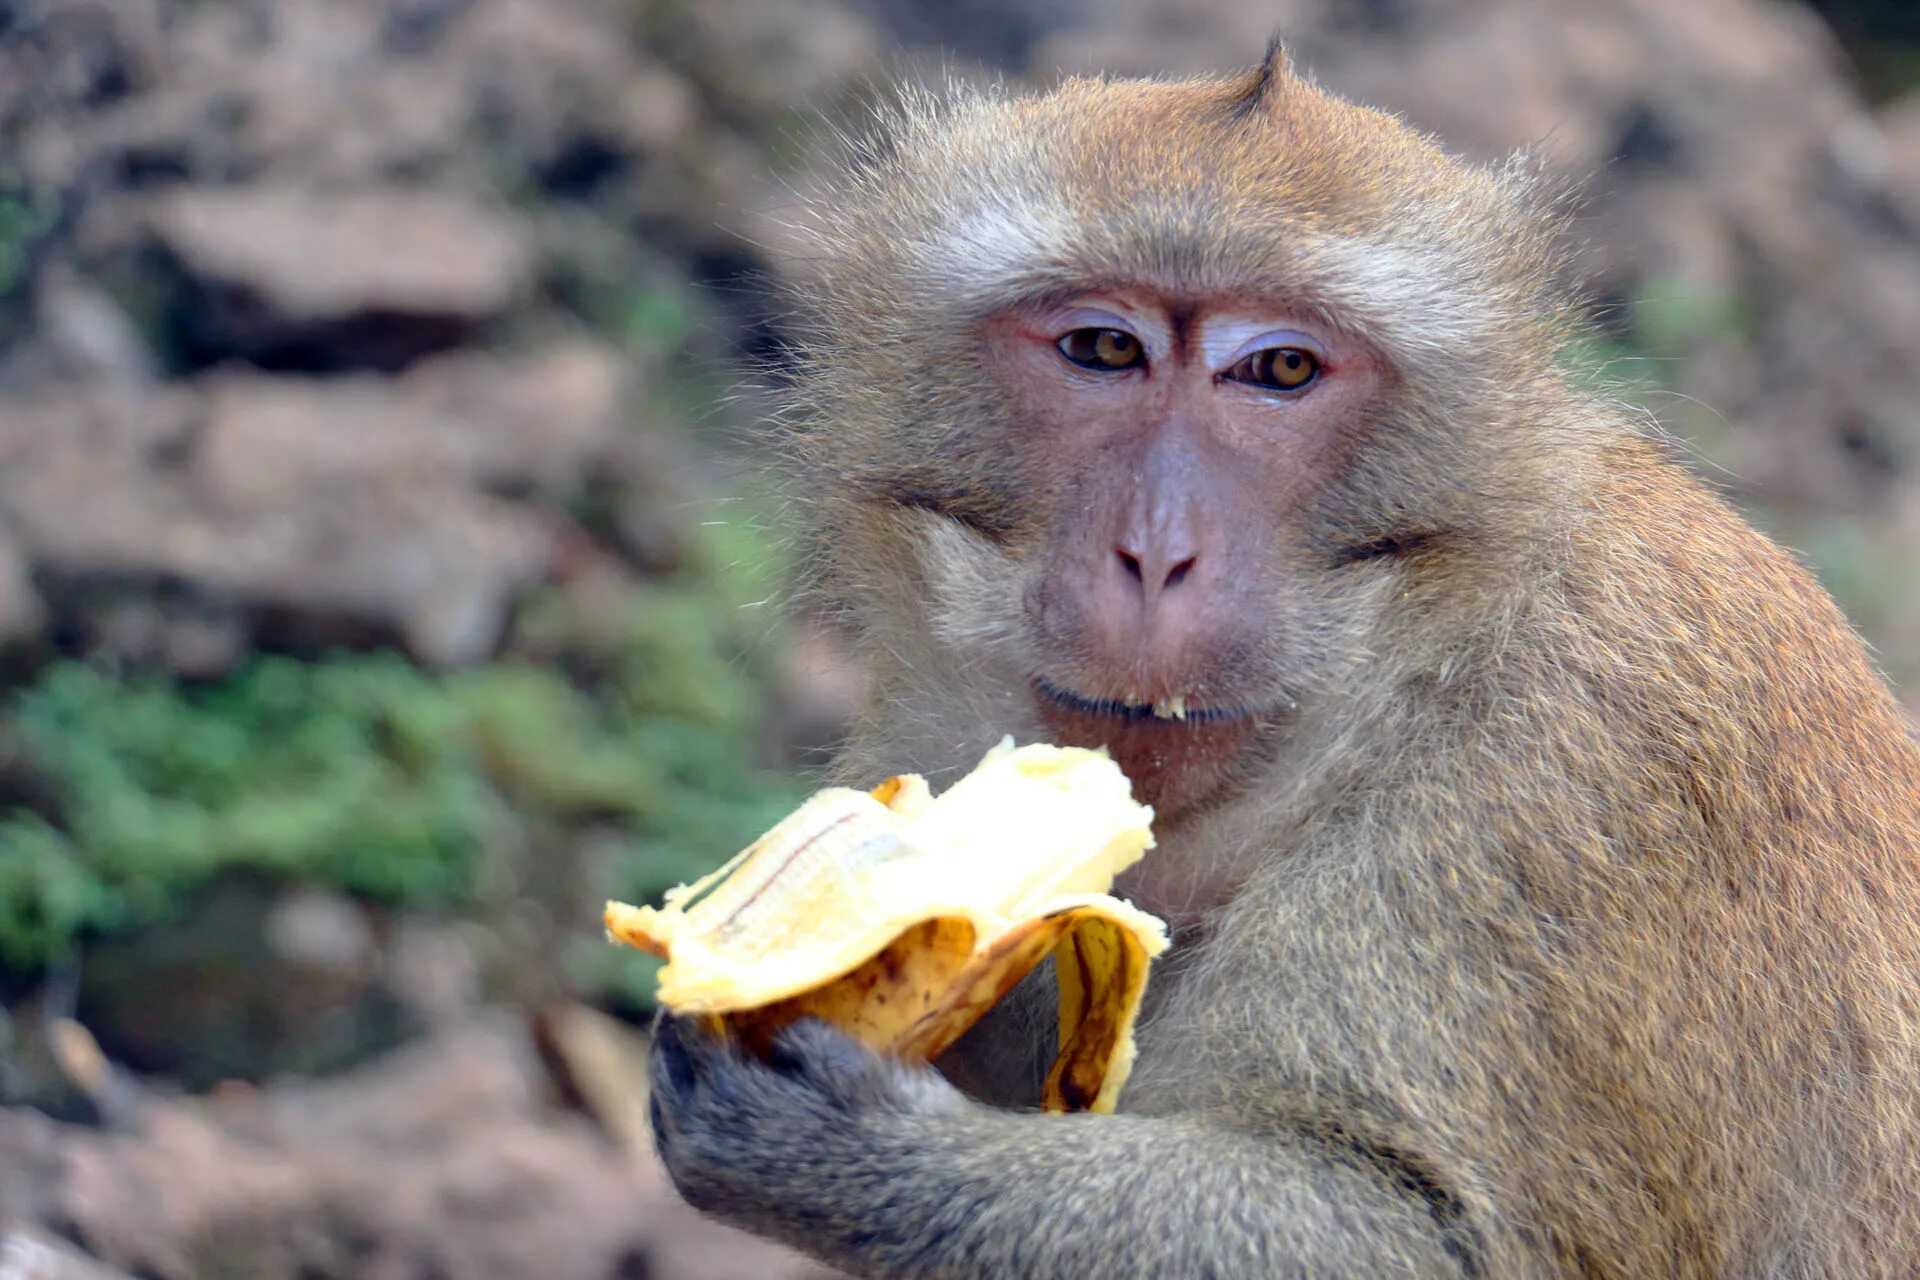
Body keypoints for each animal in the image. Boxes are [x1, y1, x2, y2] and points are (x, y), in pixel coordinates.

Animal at [645, 40, 1920, 1280]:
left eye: (1282, 371)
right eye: (1103, 348)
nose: (1157, 552)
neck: (1413, 661)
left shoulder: (1569, 792)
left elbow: (1424, 1235)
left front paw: (827, 1138)